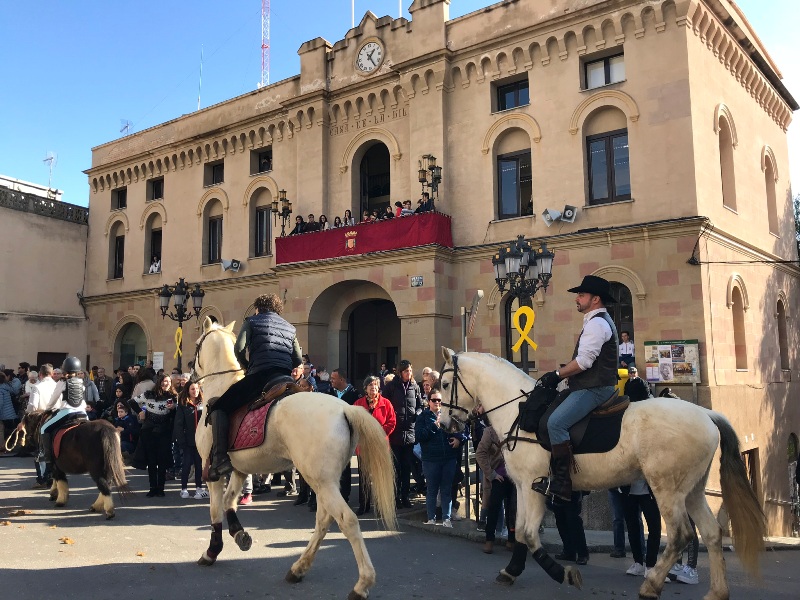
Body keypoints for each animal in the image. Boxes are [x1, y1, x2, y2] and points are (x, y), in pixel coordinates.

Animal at [191, 322, 396, 600]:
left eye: (197, 344)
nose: (190, 376)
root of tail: (346, 408)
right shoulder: (240, 469)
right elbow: (229, 501)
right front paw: (239, 534)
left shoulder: (212, 470)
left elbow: (215, 509)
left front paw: (212, 551)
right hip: (323, 481)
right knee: (323, 521)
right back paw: (299, 568)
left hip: (320, 480)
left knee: (347, 520)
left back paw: (361, 584)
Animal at [440, 346, 764, 600]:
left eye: (443, 383)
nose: (445, 424)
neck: (519, 412)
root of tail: (706, 414)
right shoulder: (520, 485)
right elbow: (519, 531)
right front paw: (511, 571)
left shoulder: (533, 484)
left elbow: (529, 534)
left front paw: (563, 574)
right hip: (693, 489)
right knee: (711, 533)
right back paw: (717, 592)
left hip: (667, 489)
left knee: (681, 535)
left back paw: (651, 585)